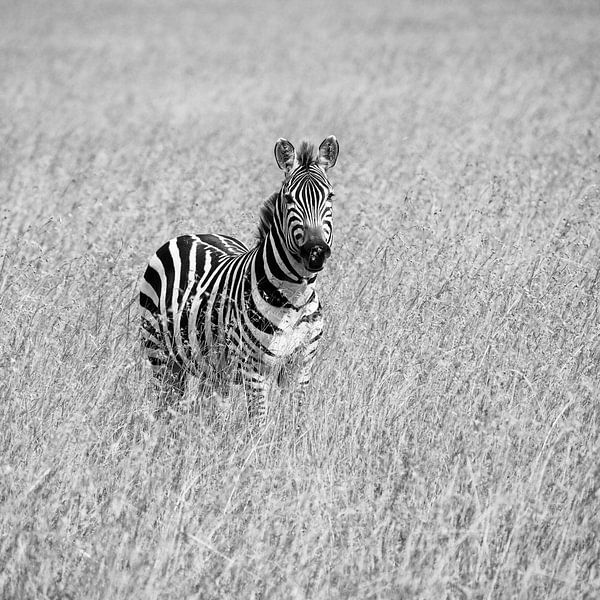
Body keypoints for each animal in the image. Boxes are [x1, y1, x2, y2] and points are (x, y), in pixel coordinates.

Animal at [138, 136, 340, 418]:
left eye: (330, 196)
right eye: (289, 198)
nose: (316, 251)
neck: (294, 298)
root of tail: (191, 234)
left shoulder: (301, 365)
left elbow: (294, 420)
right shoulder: (253, 367)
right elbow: (259, 421)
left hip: (212, 367)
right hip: (161, 355)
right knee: (164, 405)